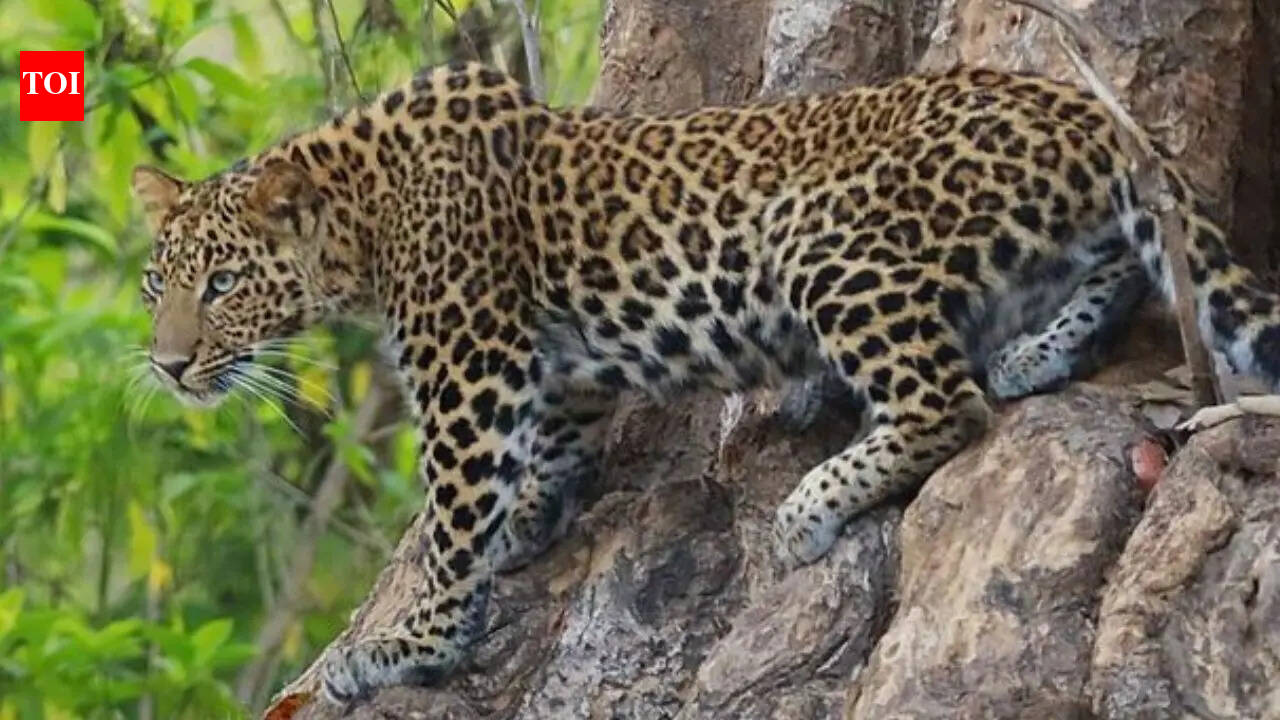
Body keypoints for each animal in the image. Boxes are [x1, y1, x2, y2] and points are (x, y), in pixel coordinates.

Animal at [130, 61, 1280, 705]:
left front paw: (409, 644)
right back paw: (1038, 351)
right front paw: (530, 522)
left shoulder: (469, 369)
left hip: (824, 239)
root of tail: (1084, 108)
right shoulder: (553, 366)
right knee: (1119, 268)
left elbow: (453, 513)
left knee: (942, 401)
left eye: (222, 283)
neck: (360, 217)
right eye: (154, 285)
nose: (168, 365)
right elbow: (553, 446)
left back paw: (814, 505)